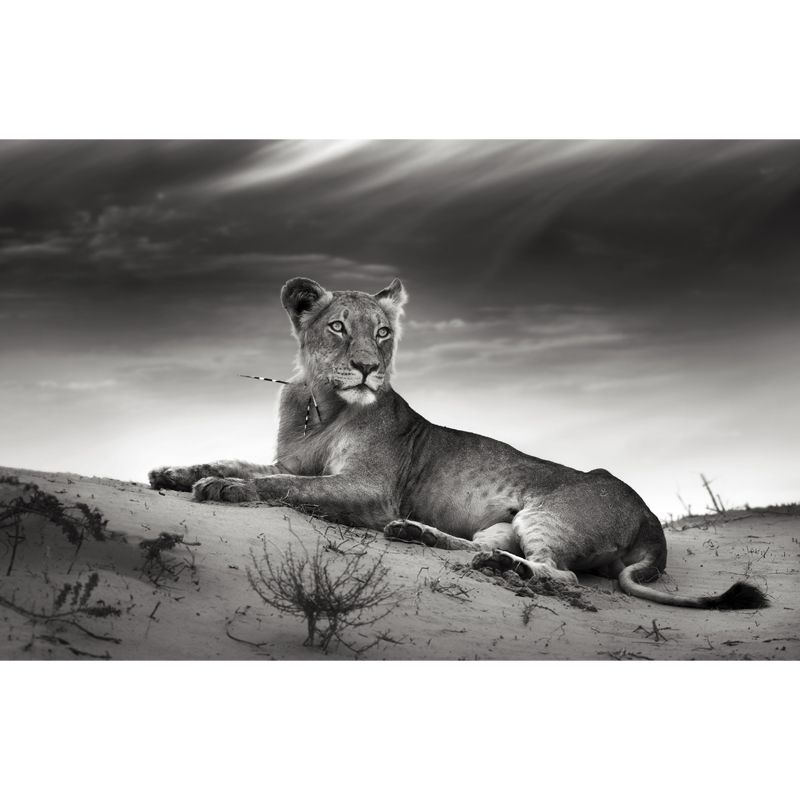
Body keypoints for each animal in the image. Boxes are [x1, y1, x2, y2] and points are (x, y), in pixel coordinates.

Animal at [149, 277, 767, 610]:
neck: (320, 405)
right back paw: (422, 536)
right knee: (481, 546)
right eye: (337, 327)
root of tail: (652, 522)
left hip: (549, 513)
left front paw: (226, 488)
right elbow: (247, 463)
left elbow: (284, 486)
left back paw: (499, 568)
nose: (368, 368)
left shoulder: (370, 490)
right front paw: (175, 473)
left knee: (560, 574)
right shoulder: (293, 459)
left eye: (382, 332)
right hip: (504, 522)